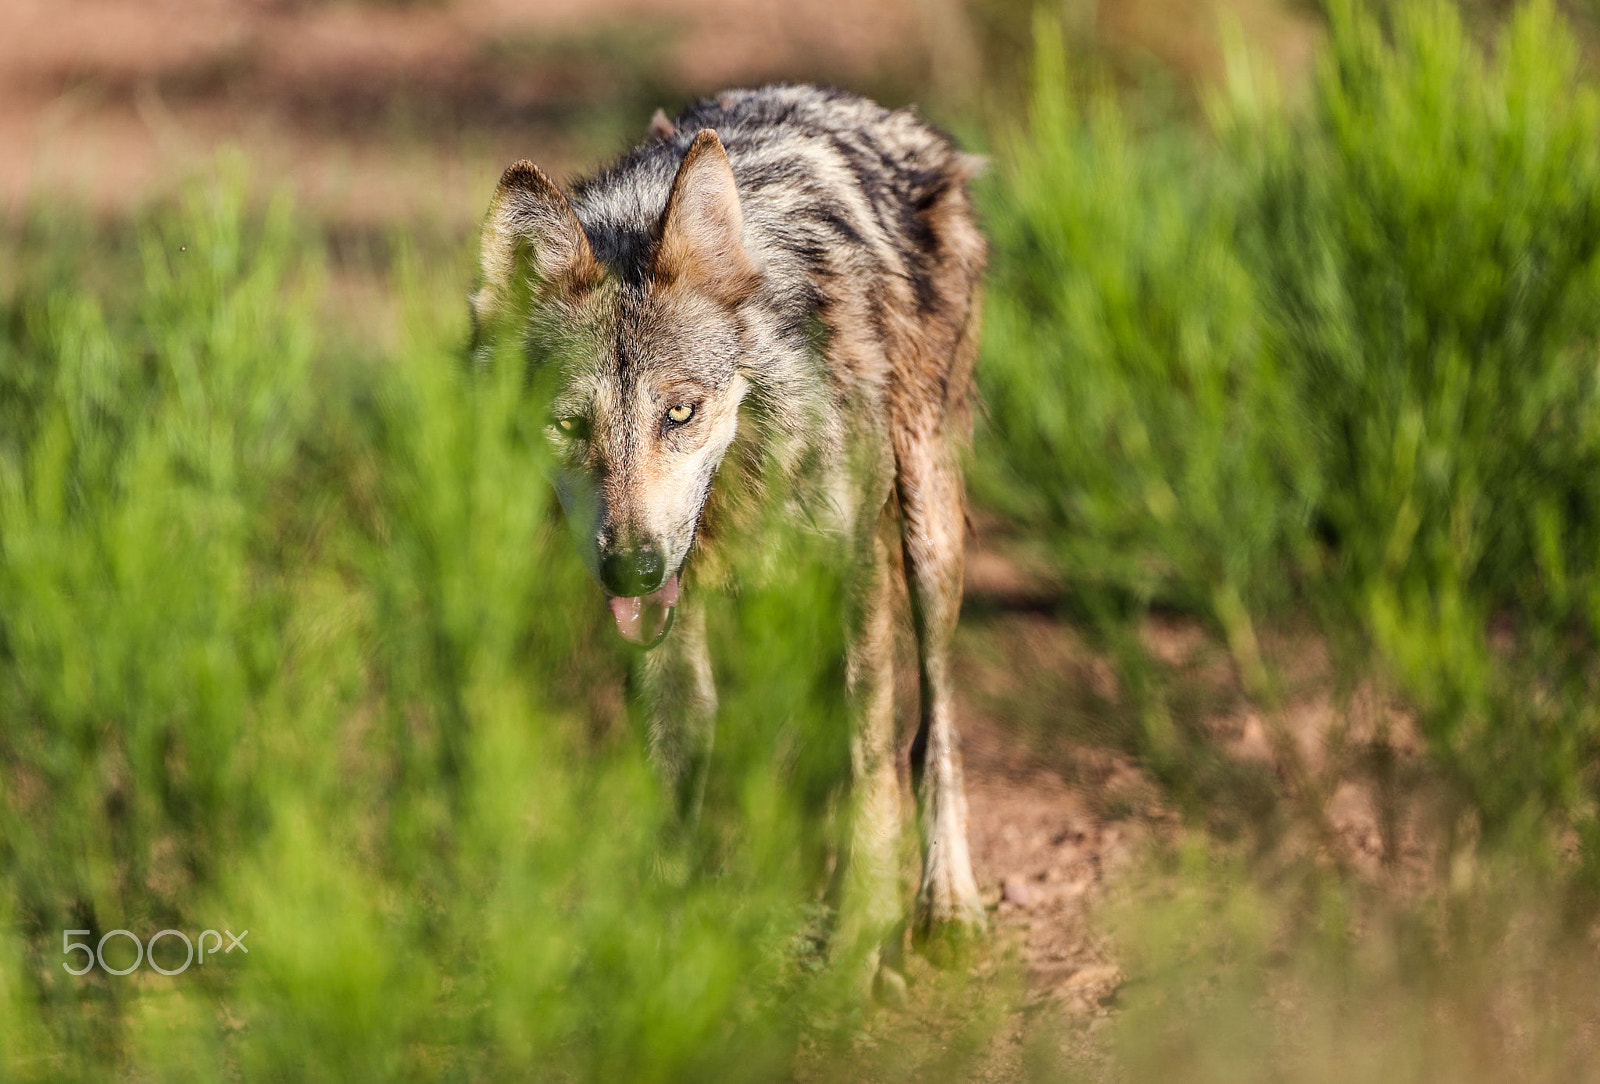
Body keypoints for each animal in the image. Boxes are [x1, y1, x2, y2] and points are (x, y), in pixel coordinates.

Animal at [470, 85, 988, 977]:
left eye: (680, 413)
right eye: (568, 426)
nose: (633, 570)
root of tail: (887, 112)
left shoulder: (856, 568)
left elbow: (875, 767)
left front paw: (855, 947)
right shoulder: (667, 631)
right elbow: (675, 789)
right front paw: (660, 960)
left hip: (926, 530)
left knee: (935, 720)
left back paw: (946, 900)